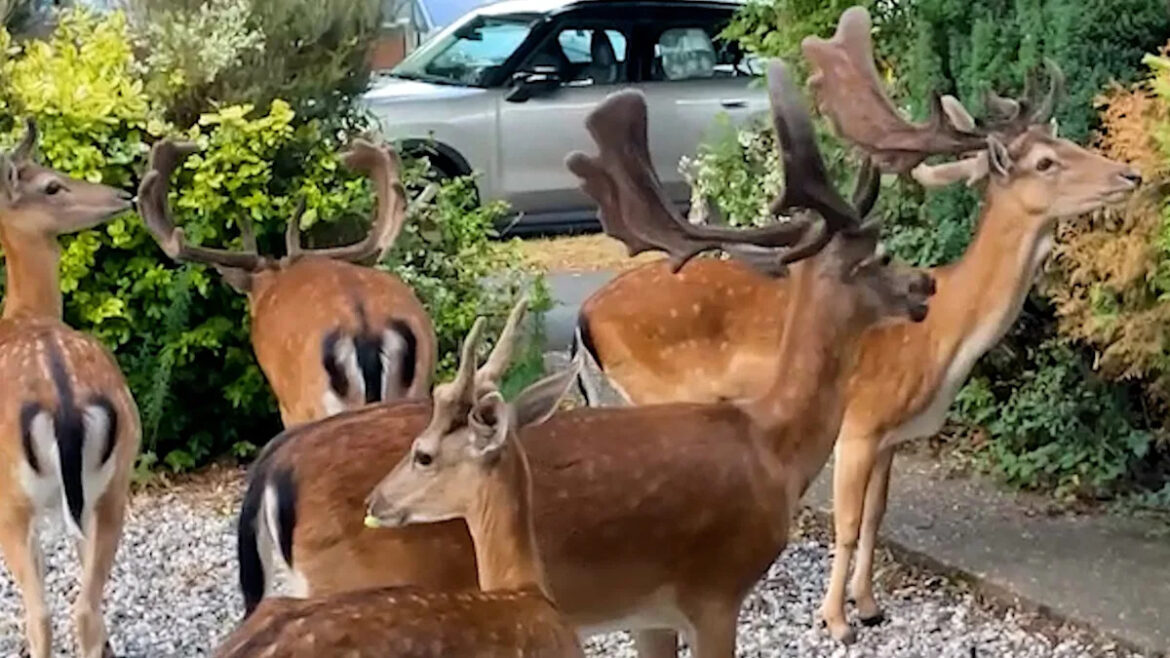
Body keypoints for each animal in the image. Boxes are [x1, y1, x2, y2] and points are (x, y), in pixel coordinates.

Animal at [0, 119, 141, 658]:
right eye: (52, 185)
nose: (125, 194)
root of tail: (62, 405)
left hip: (13, 498)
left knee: (43, 614)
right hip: (115, 482)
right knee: (88, 608)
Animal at [571, 6, 1143, 644]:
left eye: (1064, 141)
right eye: (1045, 162)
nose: (1130, 174)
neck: (945, 341)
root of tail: (586, 315)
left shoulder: (891, 436)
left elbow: (875, 519)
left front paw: (870, 606)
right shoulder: (861, 423)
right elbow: (846, 525)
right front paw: (836, 620)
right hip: (658, 392)